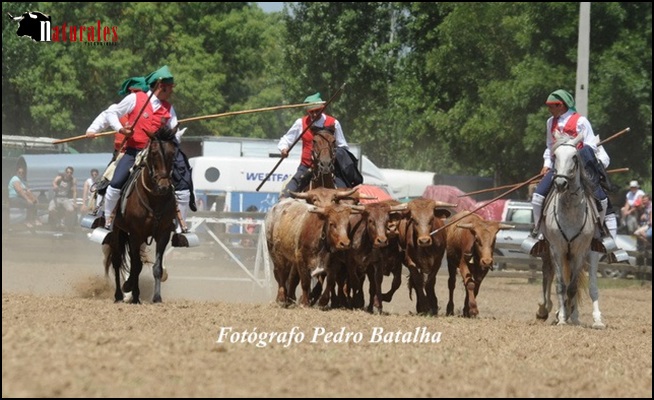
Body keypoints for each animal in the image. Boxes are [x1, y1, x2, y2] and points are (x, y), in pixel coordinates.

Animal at [103, 126, 178, 304]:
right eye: (154, 153)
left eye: (173, 153)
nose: (164, 186)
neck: (154, 199)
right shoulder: (135, 234)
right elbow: (136, 266)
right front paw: (135, 296)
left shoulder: (163, 234)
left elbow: (156, 267)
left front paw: (157, 298)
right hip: (117, 231)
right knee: (117, 261)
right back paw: (119, 295)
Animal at [538, 132, 596, 325]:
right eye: (555, 156)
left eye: (574, 157)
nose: (561, 183)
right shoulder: (557, 249)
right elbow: (561, 285)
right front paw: (562, 318)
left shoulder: (579, 251)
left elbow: (572, 287)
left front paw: (570, 315)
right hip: (549, 251)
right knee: (548, 274)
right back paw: (545, 309)